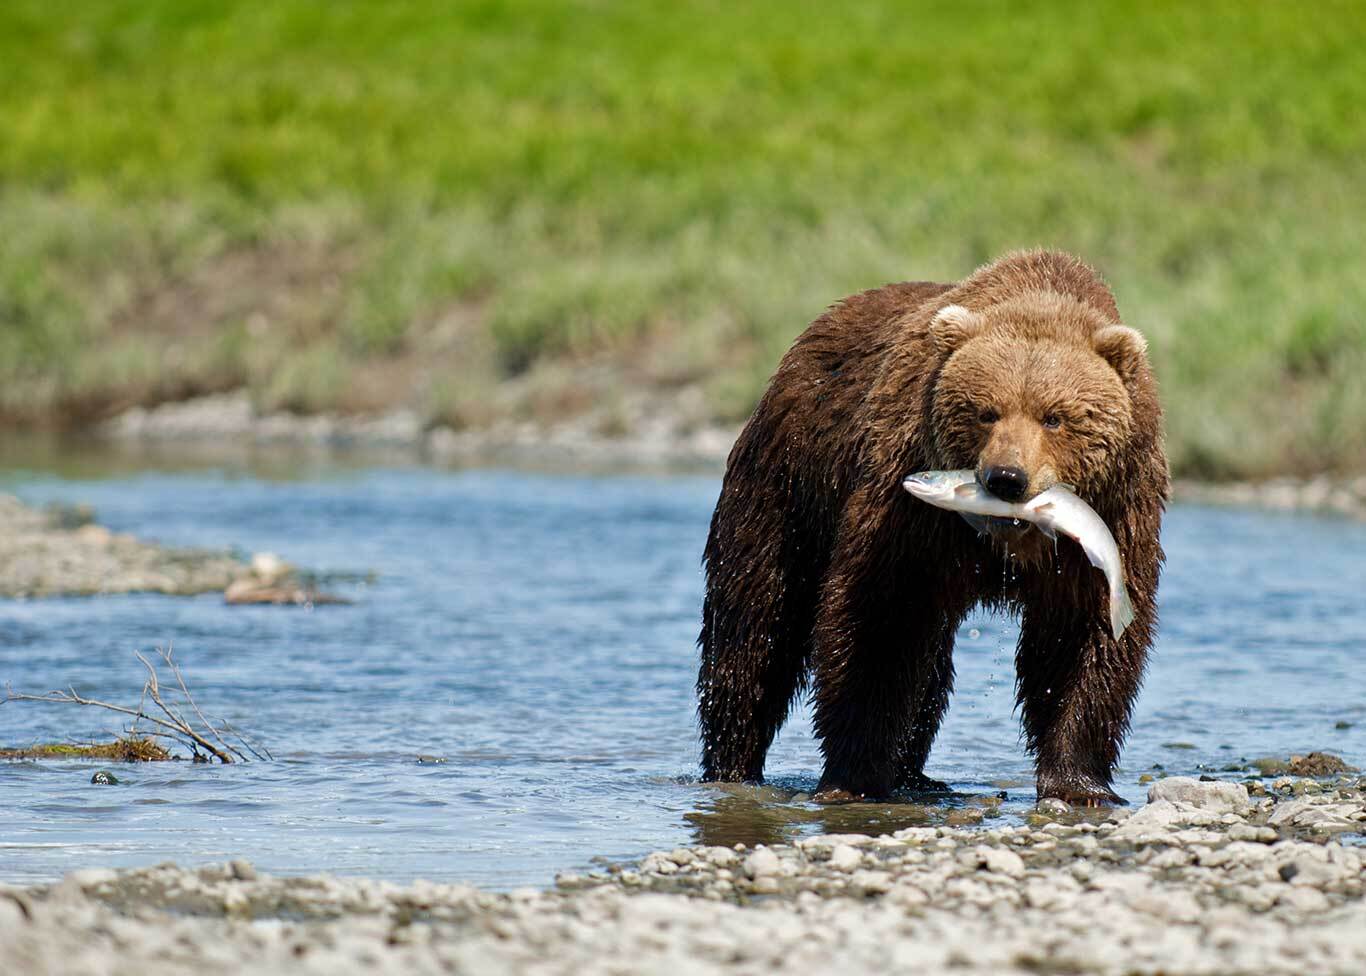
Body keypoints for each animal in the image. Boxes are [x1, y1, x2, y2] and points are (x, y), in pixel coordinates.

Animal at [704, 247, 1163, 803]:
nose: (1006, 478)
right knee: (755, 627)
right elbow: (879, 619)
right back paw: (732, 763)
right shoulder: (906, 510)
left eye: (1055, 416)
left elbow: (1080, 639)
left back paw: (914, 775)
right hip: (787, 486)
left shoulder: (1114, 518)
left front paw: (1079, 782)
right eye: (986, 411)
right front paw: (854, 776)